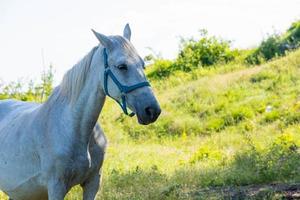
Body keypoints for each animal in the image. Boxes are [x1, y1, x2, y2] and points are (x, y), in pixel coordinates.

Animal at [0, 23, 162, 200]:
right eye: (122, 66)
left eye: (143, 65)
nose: (152, 110)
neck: (72, 127)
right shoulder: (56, 187)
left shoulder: (93, 182)